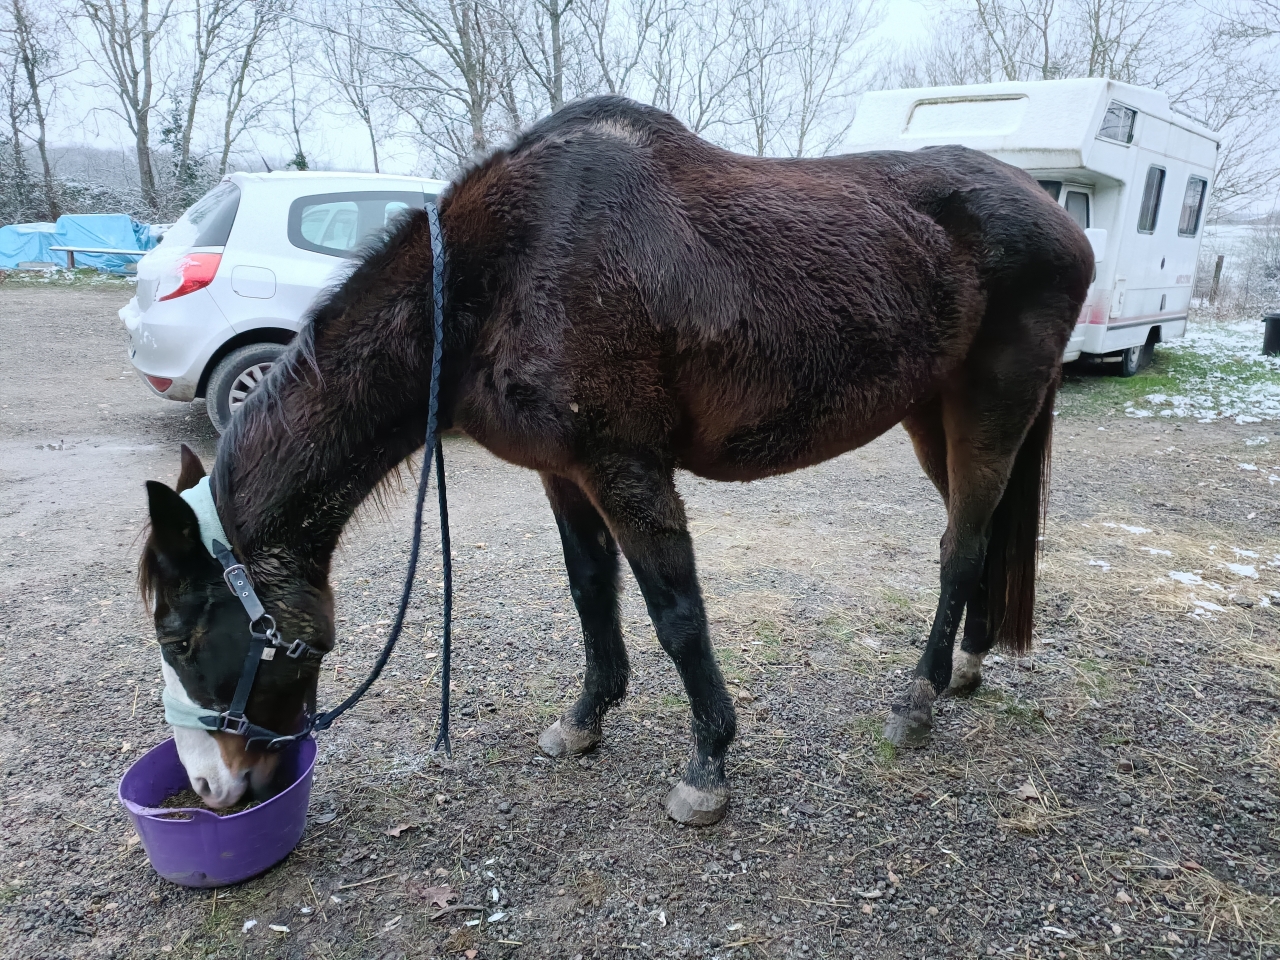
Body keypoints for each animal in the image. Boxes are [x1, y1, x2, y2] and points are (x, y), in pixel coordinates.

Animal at [139, 95, 1092, 825]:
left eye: (182, 634)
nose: (212, 785)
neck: (507, 268)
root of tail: (1061, 221)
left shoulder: (626, 467)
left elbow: (676, 614)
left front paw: (707, 765)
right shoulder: (565, 473)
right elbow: (591, 594)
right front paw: (585, 719)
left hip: (988, 407)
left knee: (961, 548)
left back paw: (918, 699)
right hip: (937, 418)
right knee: (980, 535)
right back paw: (965, 668)